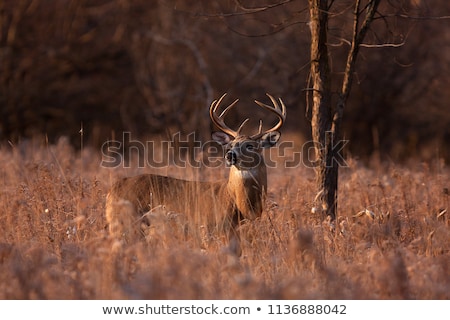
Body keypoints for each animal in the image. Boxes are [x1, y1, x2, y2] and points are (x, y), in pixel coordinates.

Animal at [106, 93, 284, 255]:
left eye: (250, 146)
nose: (230, 155)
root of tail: (112, 190)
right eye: (231, 145)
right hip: (125, 223)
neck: (236, 203)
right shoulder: (209, 228)